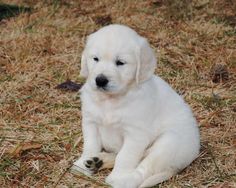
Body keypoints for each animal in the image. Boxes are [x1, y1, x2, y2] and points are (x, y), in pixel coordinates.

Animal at [72, 25, 199, 188]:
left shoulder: (136, 135)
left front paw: (118, 177)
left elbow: (125, 157)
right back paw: (98, 161)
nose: (100, 80)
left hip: (168, 144)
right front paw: (82, 165)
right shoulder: (90, 122)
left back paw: (124, 180)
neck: (110, 100)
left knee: (144, 168)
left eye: (120, 62)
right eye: (95, 59)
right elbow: (90, 145)